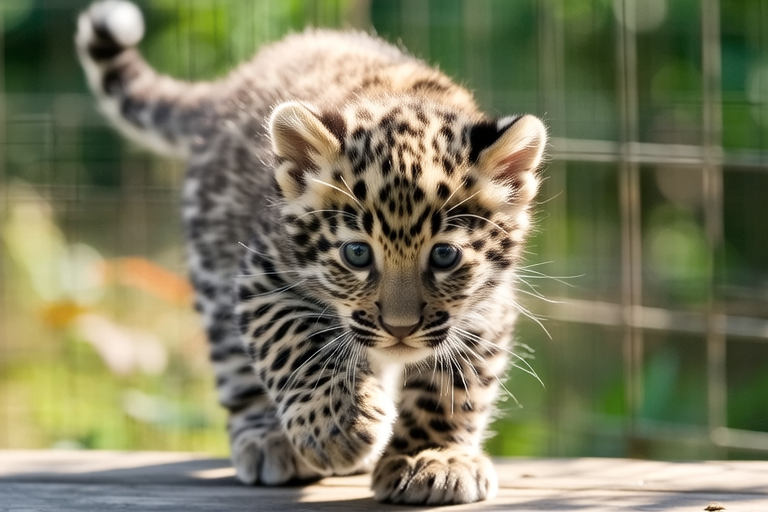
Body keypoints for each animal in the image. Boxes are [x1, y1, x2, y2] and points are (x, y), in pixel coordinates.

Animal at [76, 0, 547, 505]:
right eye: (357, 254)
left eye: (444, 257)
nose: (400, 329)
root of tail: (232, 84)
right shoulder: (262, 276)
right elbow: (296, 344)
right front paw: (340, 426)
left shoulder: (486, 306)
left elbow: (453, 385)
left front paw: (431, 458)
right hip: (213, 267)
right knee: (237, 368)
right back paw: (269, 439)